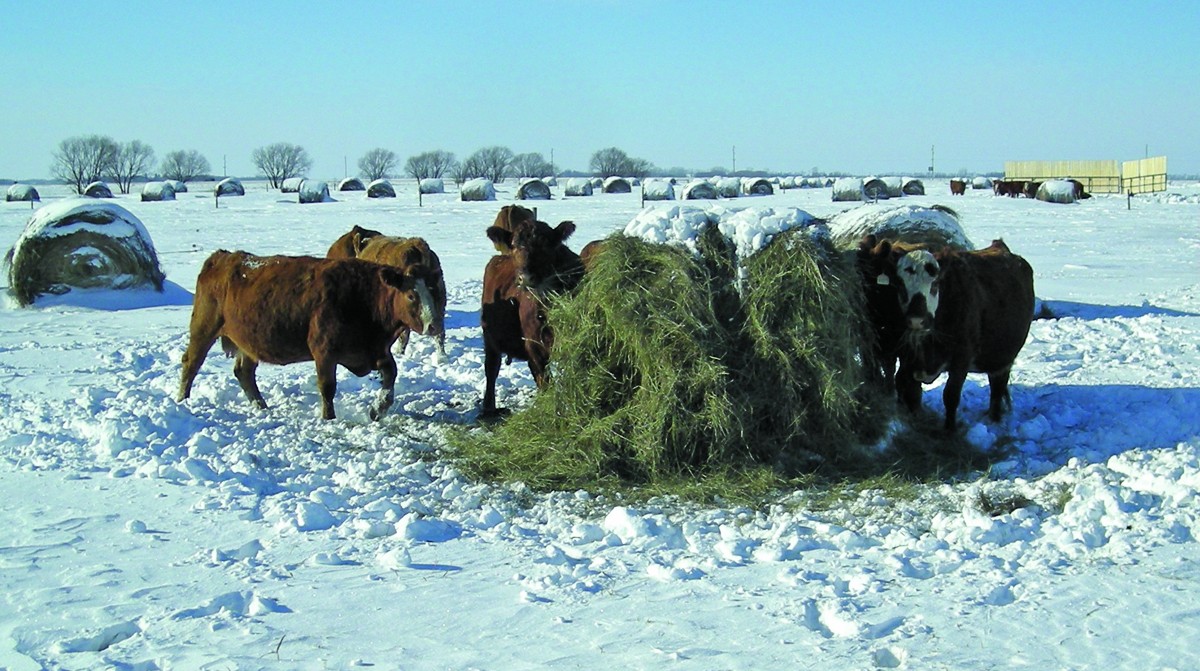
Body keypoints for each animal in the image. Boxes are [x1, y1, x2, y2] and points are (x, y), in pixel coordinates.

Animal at [178, 251, 436, 420]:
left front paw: (378, 409)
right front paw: (328, 419)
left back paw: (261, 406)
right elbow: (327, 387)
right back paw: (182, 401)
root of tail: (222, 257)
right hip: (204, 328)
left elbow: (391, 374)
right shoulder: (324, 351)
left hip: (248, 342)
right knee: (191, 363)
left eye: (433, 291)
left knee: (244, 372)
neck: (365, 299)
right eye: (411, 295)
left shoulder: (374, 350)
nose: (433, 325)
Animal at [480, 213, 584, 417]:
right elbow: (546, 384)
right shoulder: (536, 346)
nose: (526, 278)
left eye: (546, 244)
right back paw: (489, 409)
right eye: (514, 244)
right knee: (492, 369)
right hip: (490, 339)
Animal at [865, 238, 1035, 429]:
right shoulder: (909, 359)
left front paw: (950, 429)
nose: (917, 320)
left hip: (1003, 359)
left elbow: (951, 396)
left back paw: (994, 418)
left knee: (997, 387)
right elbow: (910, 391)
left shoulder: (962, 359)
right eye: (900, 285)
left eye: (935, 284)